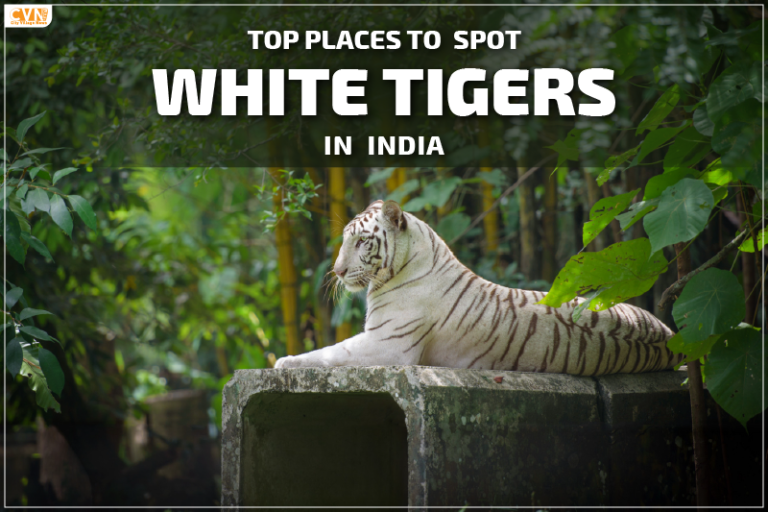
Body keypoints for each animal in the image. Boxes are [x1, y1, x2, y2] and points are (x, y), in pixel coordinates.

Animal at [274, 200, 684, 374]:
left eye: (361, 242)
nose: (338, 271)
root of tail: (670, 338)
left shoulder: (386, 344)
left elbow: (329, 352)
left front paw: (283, 361)